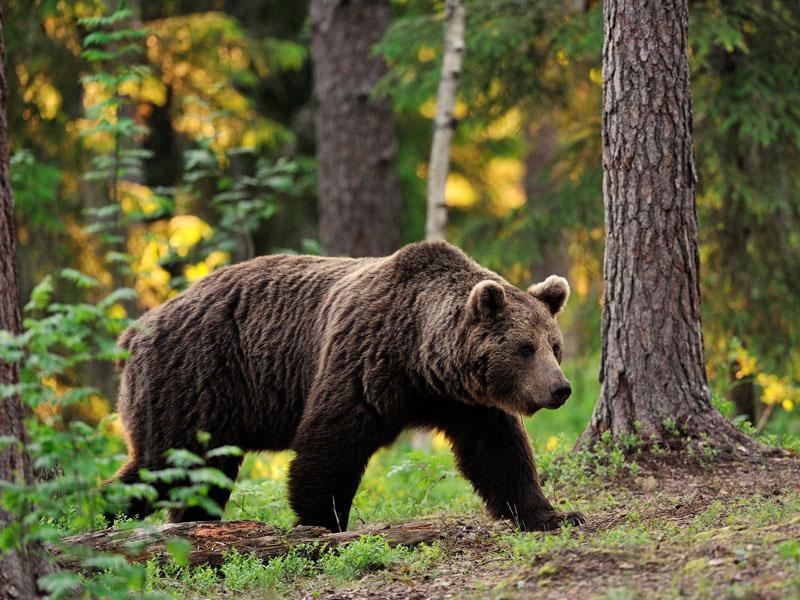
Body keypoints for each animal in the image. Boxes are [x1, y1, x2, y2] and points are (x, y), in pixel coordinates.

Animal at [112, 239, 580, 528]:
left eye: (555, 346)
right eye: (525, 348)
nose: (561, 389)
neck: (421, 359)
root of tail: (136, 330)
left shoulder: (466, 403)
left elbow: (498, 454)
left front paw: (551, 515)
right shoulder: (363, 362)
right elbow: (330, 443)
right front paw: (321, 521)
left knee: (199, 476)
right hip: (194, 380)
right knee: (166, 464)